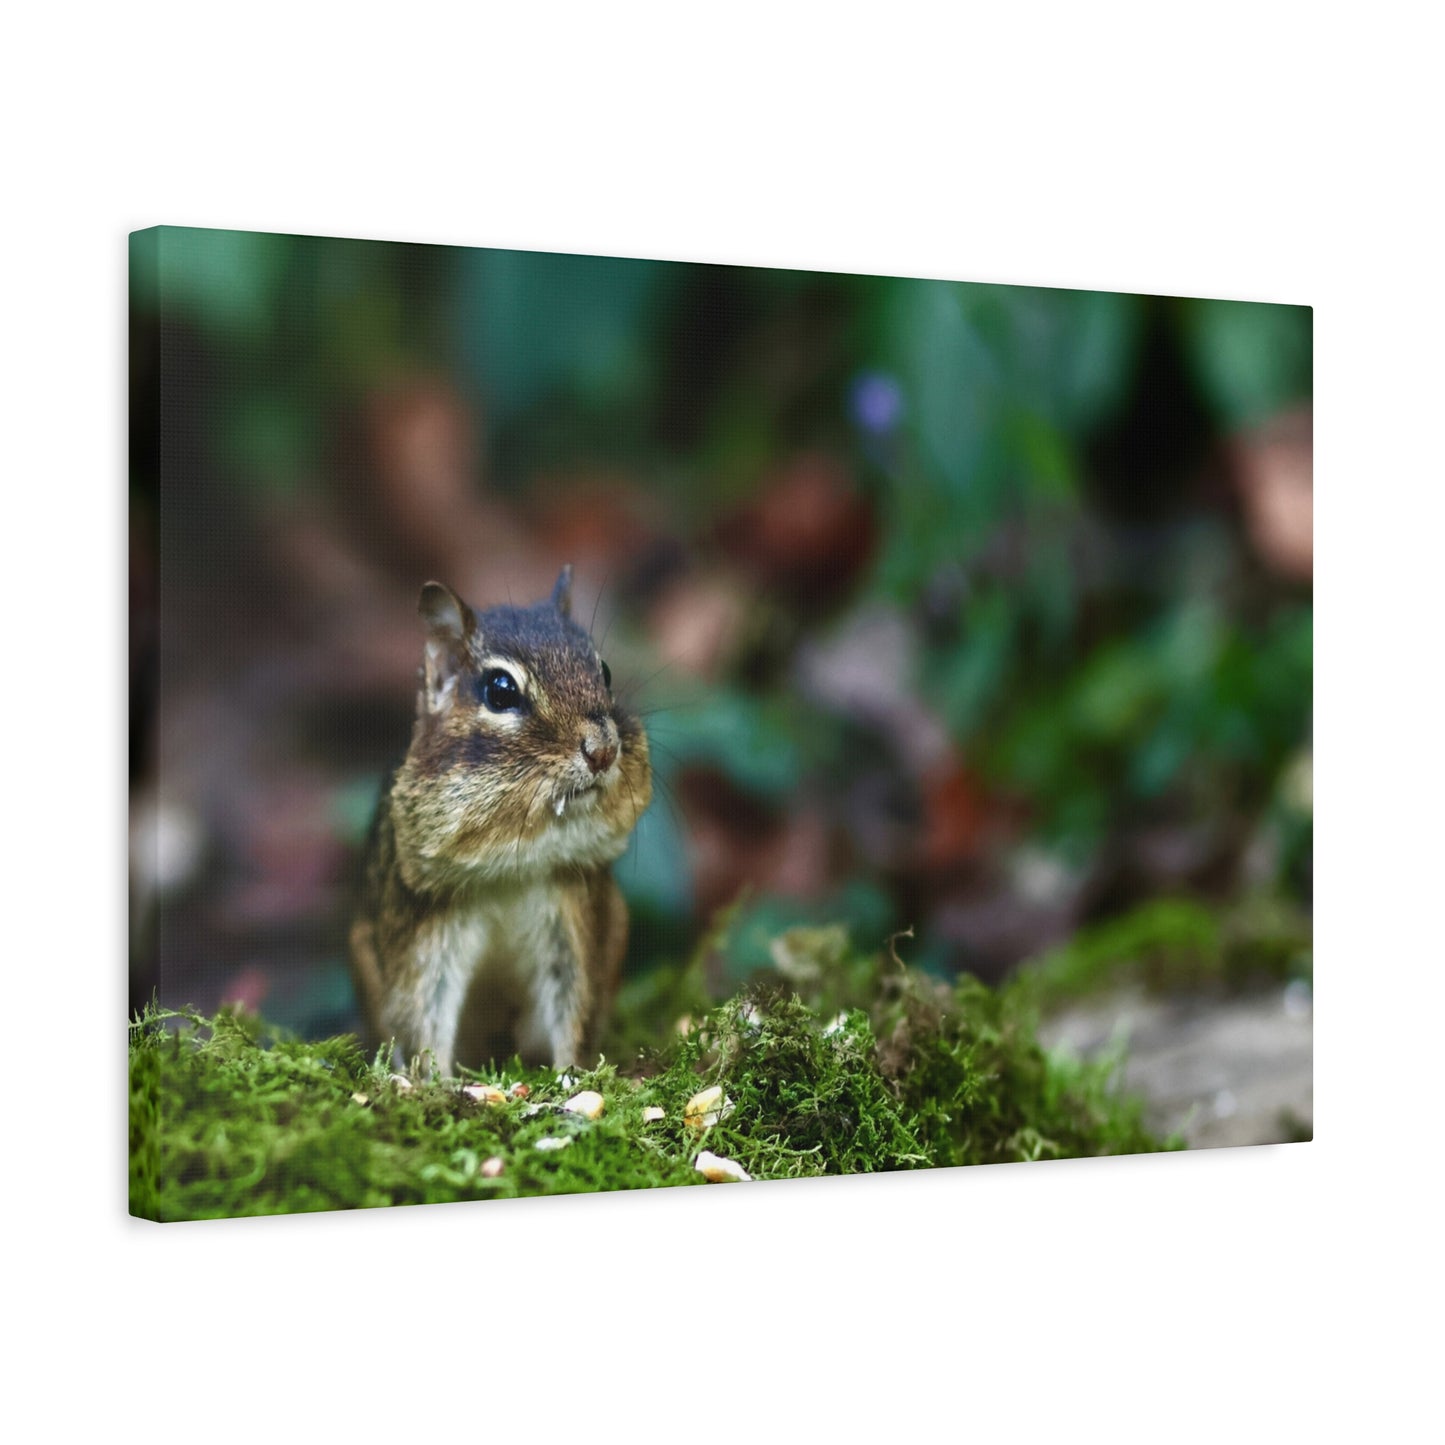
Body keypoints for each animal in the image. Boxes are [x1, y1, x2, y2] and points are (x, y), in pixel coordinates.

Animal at [348, 568, 651, 1076]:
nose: (603, 750)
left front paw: (574, 1076)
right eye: (500, 690)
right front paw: (431, 1082)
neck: (515, 865)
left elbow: (577, 1003)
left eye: (605, 672)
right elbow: (422, 1012)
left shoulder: (574, 915)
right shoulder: (425, 929)